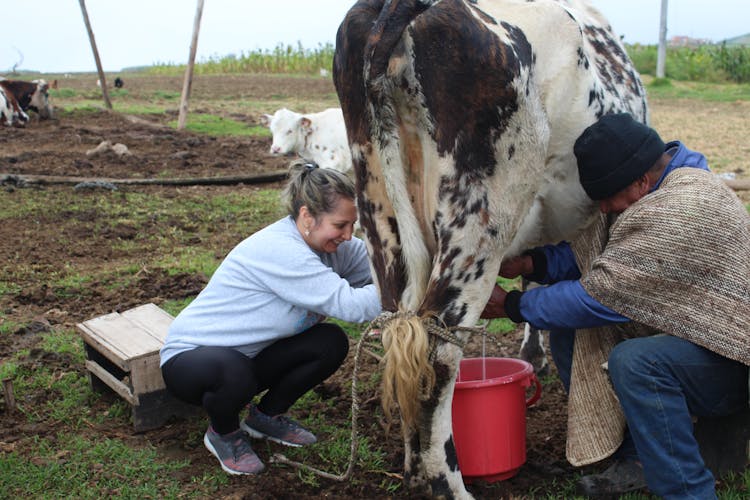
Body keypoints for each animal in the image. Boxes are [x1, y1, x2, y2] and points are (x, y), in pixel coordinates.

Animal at [334, 0, 652, 496]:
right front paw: (536, 355)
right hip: (479, 221)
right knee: (438, 350)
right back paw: (449, 484)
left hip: (379, 211)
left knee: (399, 333)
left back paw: (412, 468)